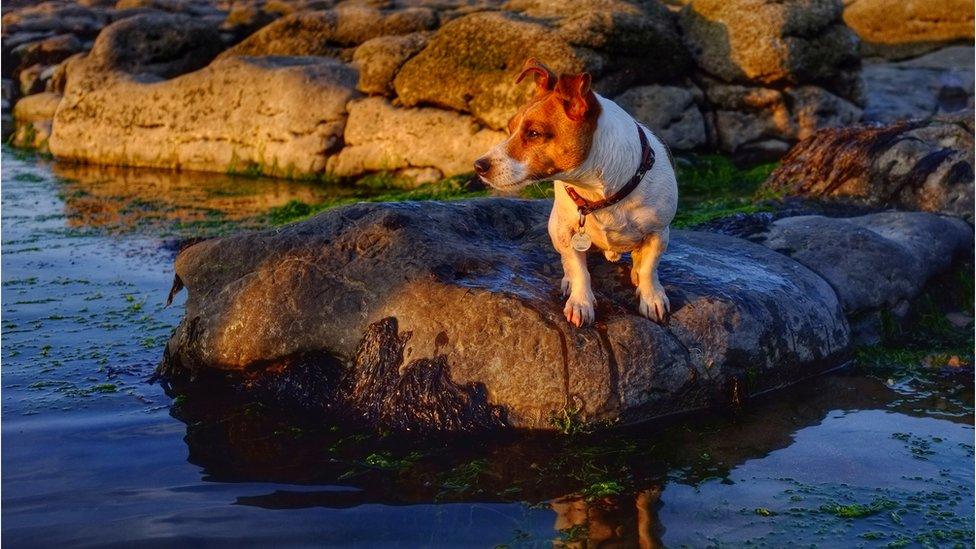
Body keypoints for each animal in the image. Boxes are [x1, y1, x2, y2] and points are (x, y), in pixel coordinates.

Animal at [474, 58, 676, 328]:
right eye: (510, 128)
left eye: (534, 133)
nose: (478, 166)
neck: (598, 191)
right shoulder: (565, 232)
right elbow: (580, 270)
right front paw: (581, 301)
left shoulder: (659, 232)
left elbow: (649, 268)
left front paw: (651, 296)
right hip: (553, 227)